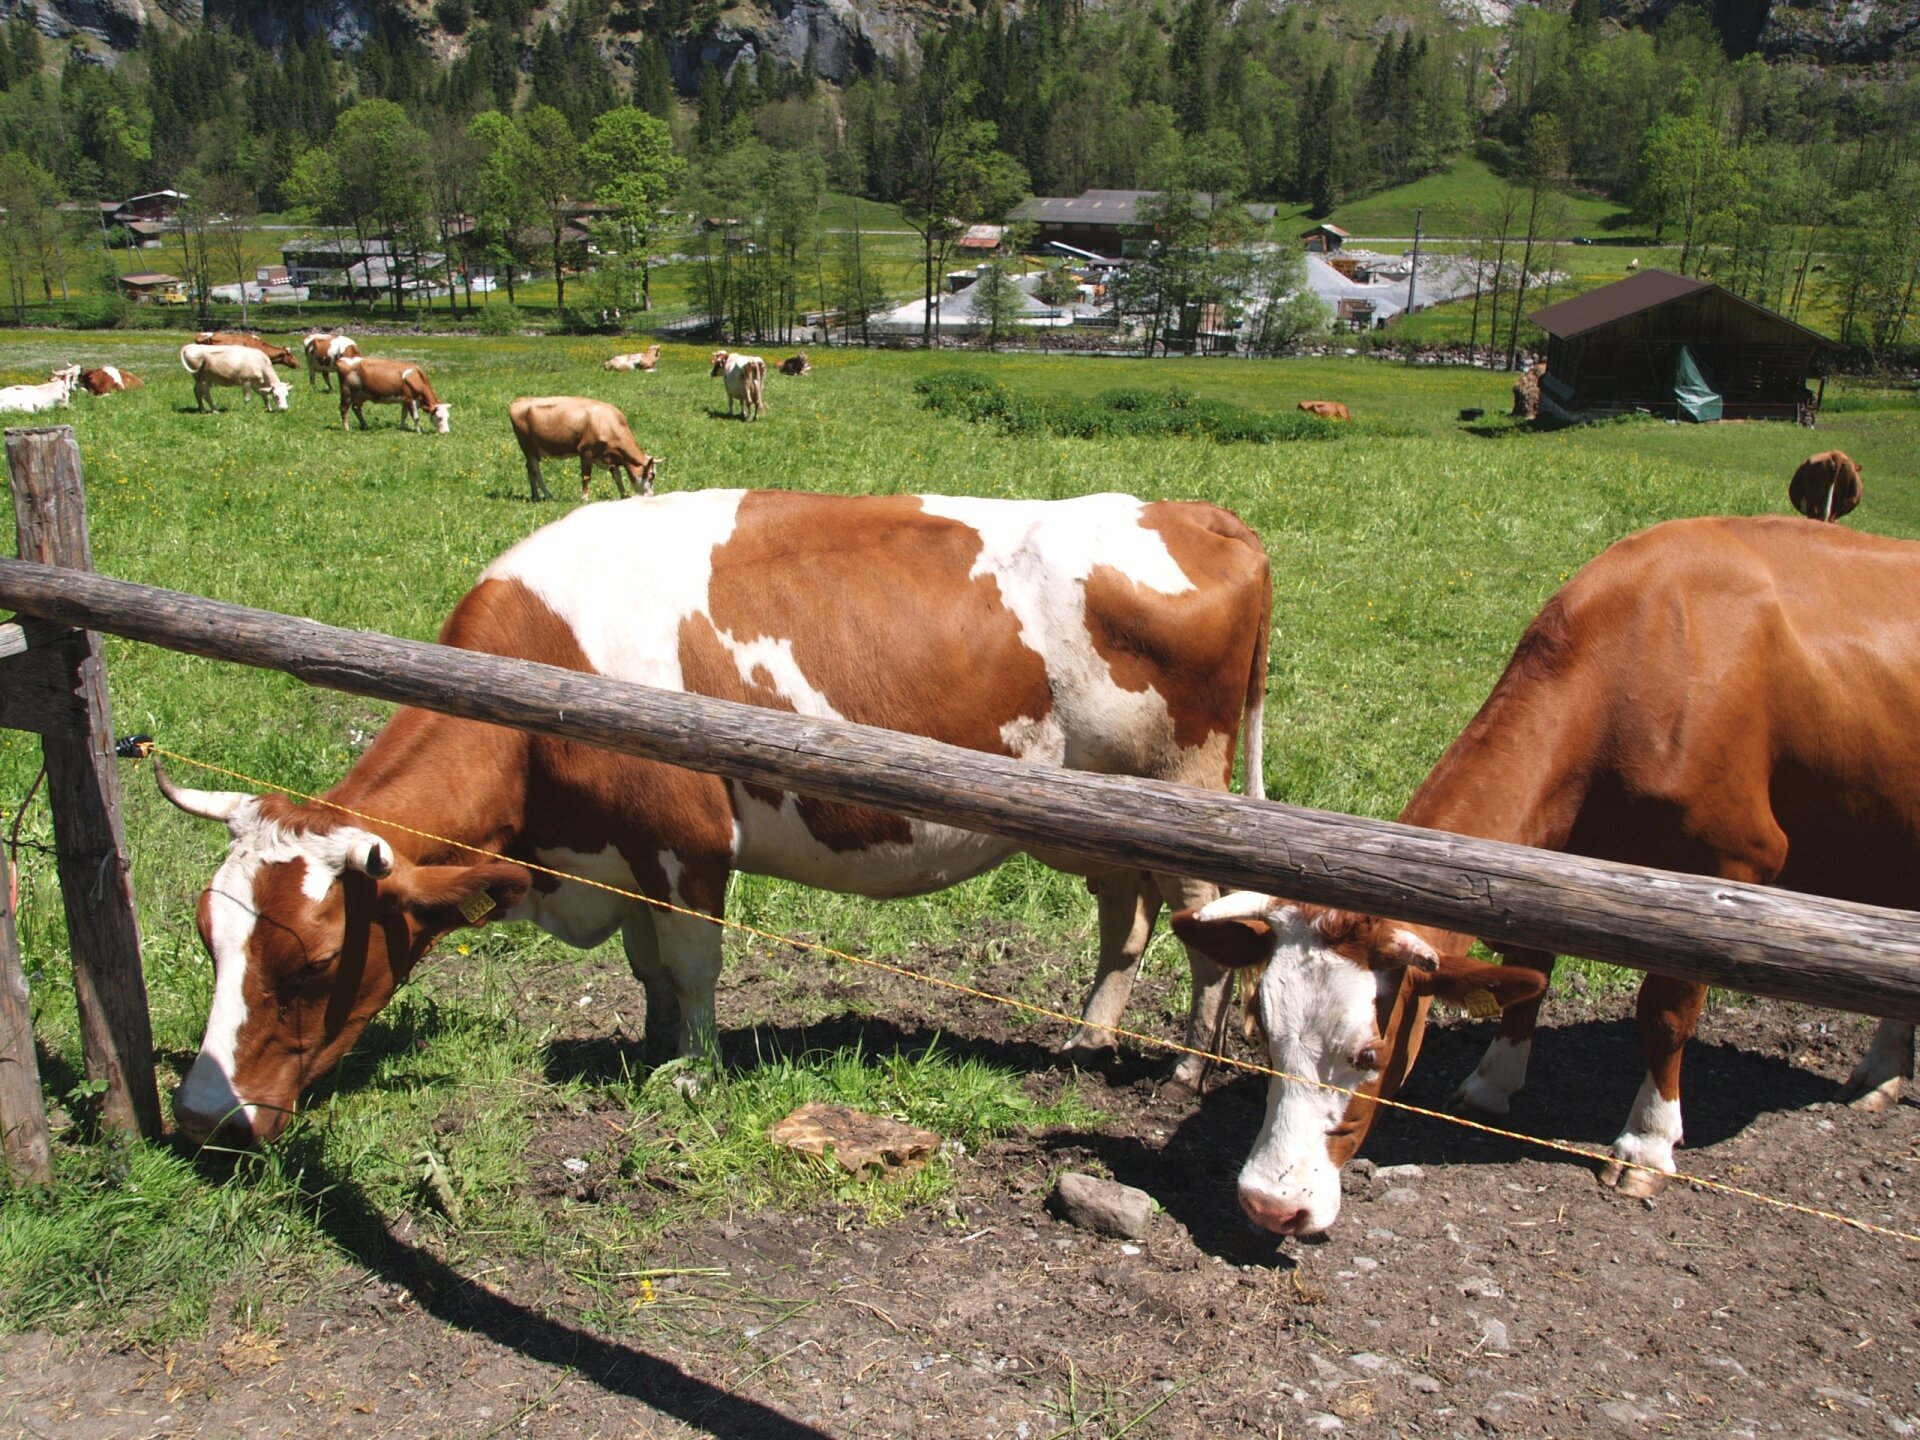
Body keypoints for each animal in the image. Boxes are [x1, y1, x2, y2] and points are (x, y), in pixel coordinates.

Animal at [161, 491, 1274, 1144]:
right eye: (210, 937)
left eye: (311, 964)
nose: (203, 1118)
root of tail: (1198, 512)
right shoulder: (617, 852)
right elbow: (648, 966)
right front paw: (653, 1044)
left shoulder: (684, 842)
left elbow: (693, 965)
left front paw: (692, 1073)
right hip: (1099, 816)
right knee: (1126, 918)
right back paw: (1086, 1043)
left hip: (1188, 790)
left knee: (1205, 927)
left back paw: (1184, 1067)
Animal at [506, 395, 656, 503]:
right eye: (651, 475)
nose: (651, 495)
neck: (607, 422)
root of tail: (520, 400)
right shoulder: (586, 451)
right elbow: (586, 476)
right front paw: (584, 497)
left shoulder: (608, 455)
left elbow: (617, 477)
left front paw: (624, 495)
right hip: (529, 447)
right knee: (535, 471)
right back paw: (548, 495)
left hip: (532, 451)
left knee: (529, 469)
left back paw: (535, 495)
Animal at [1167, 518, 1920, 1244]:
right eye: (1264, 1033)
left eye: (1370, 1053)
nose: (1270, 1206)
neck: (1640, 670)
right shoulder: (1542, 869)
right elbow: (1528, 971)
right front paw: (1493, 1083)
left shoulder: (1728, 873)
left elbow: (1666, 1012)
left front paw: (1648, 1142)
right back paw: (1883, 1072)